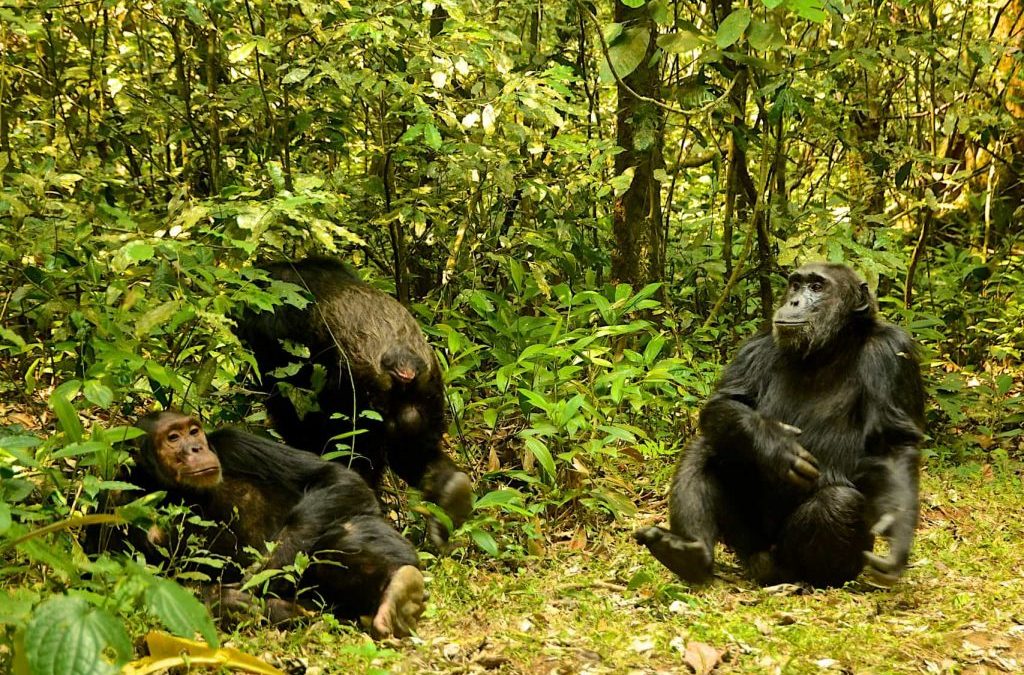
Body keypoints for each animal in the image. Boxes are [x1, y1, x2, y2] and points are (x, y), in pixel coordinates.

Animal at [133, 407, 428, 639]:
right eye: (173, 438)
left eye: (193, 431)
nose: (196, 448)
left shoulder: (235, 443)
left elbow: (332, 476)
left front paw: (270, 567)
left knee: (347, 534)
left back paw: (401, 590)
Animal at [234, 256, 473, 544]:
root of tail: (403, 362)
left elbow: (291, 412)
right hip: (428, 393)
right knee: (415, 452)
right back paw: (451, 493)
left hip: (360, 402)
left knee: (356, 459)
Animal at [634, 261, 925, 589]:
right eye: (796, 284)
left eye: (817, 287)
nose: (794, 301)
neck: (830, 348)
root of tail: (762, 562)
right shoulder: (759, 343)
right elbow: (725, 402)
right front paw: (776, 445)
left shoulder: (893, 353)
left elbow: (893, 444)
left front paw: (898, 538)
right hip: (746, 542)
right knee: (707, 446)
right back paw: (688, 554)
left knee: (839, 502)